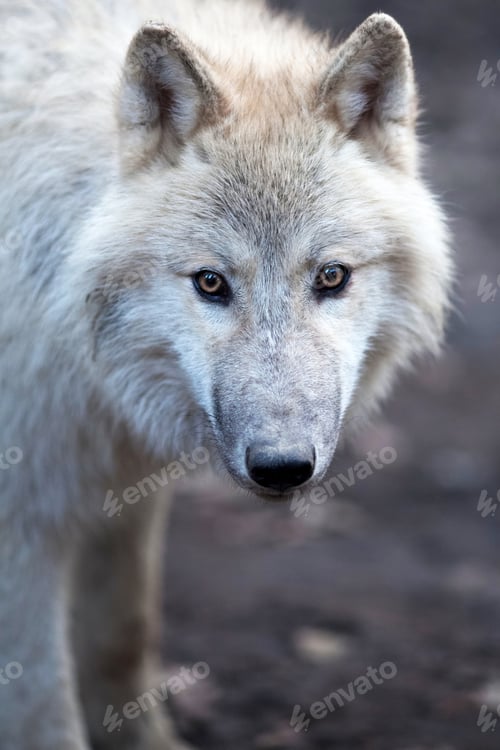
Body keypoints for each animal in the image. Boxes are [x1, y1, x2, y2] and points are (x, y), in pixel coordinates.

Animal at [0, 0, 452, 747]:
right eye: (210, 282)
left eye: (332, 277)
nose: (282, 467)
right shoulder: (25, 524)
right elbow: (42, 709)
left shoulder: (121, 491)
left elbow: (123, 640)